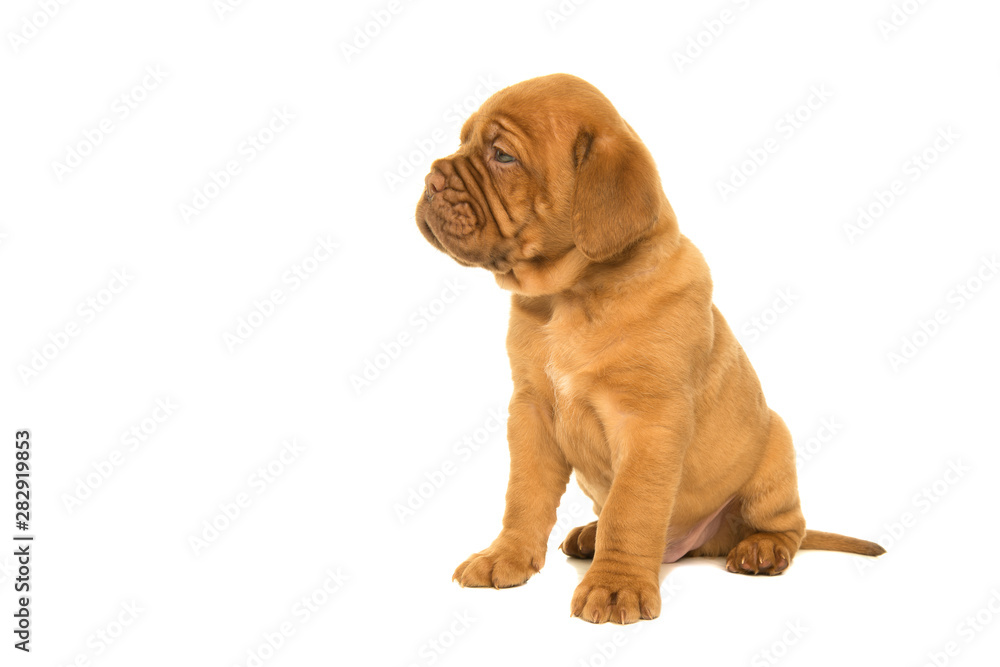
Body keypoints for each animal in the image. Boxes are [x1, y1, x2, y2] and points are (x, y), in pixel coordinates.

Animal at [414, 74, 884, 628]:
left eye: (503, 155)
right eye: (464, 142)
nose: (431, 177)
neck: (568, 297)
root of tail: (702, 544)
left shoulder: (648, 422)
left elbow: (631, 509)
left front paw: (616, 586)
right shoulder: (530, 412)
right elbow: (523, 497)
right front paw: (504, 557)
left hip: (774, 452)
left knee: (787, 524)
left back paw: (760, 549)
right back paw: (587, 535)